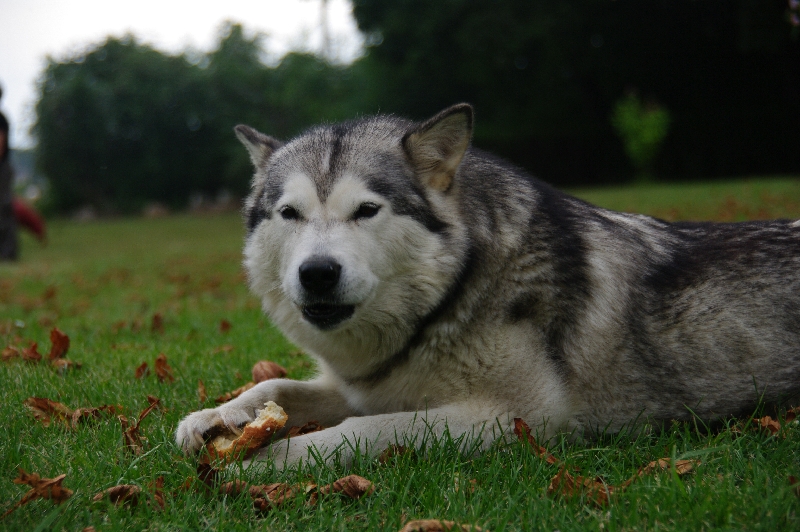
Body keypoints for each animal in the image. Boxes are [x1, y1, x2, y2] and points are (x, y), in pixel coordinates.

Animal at [178, 104, 800, 470]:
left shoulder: (519, 417)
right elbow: (275, 386)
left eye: (366, 210)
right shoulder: (365, 385)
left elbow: (364, 431)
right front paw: (215, 419)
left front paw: (269, 459)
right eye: (290, 214)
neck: (445, 303)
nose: (317, 272)